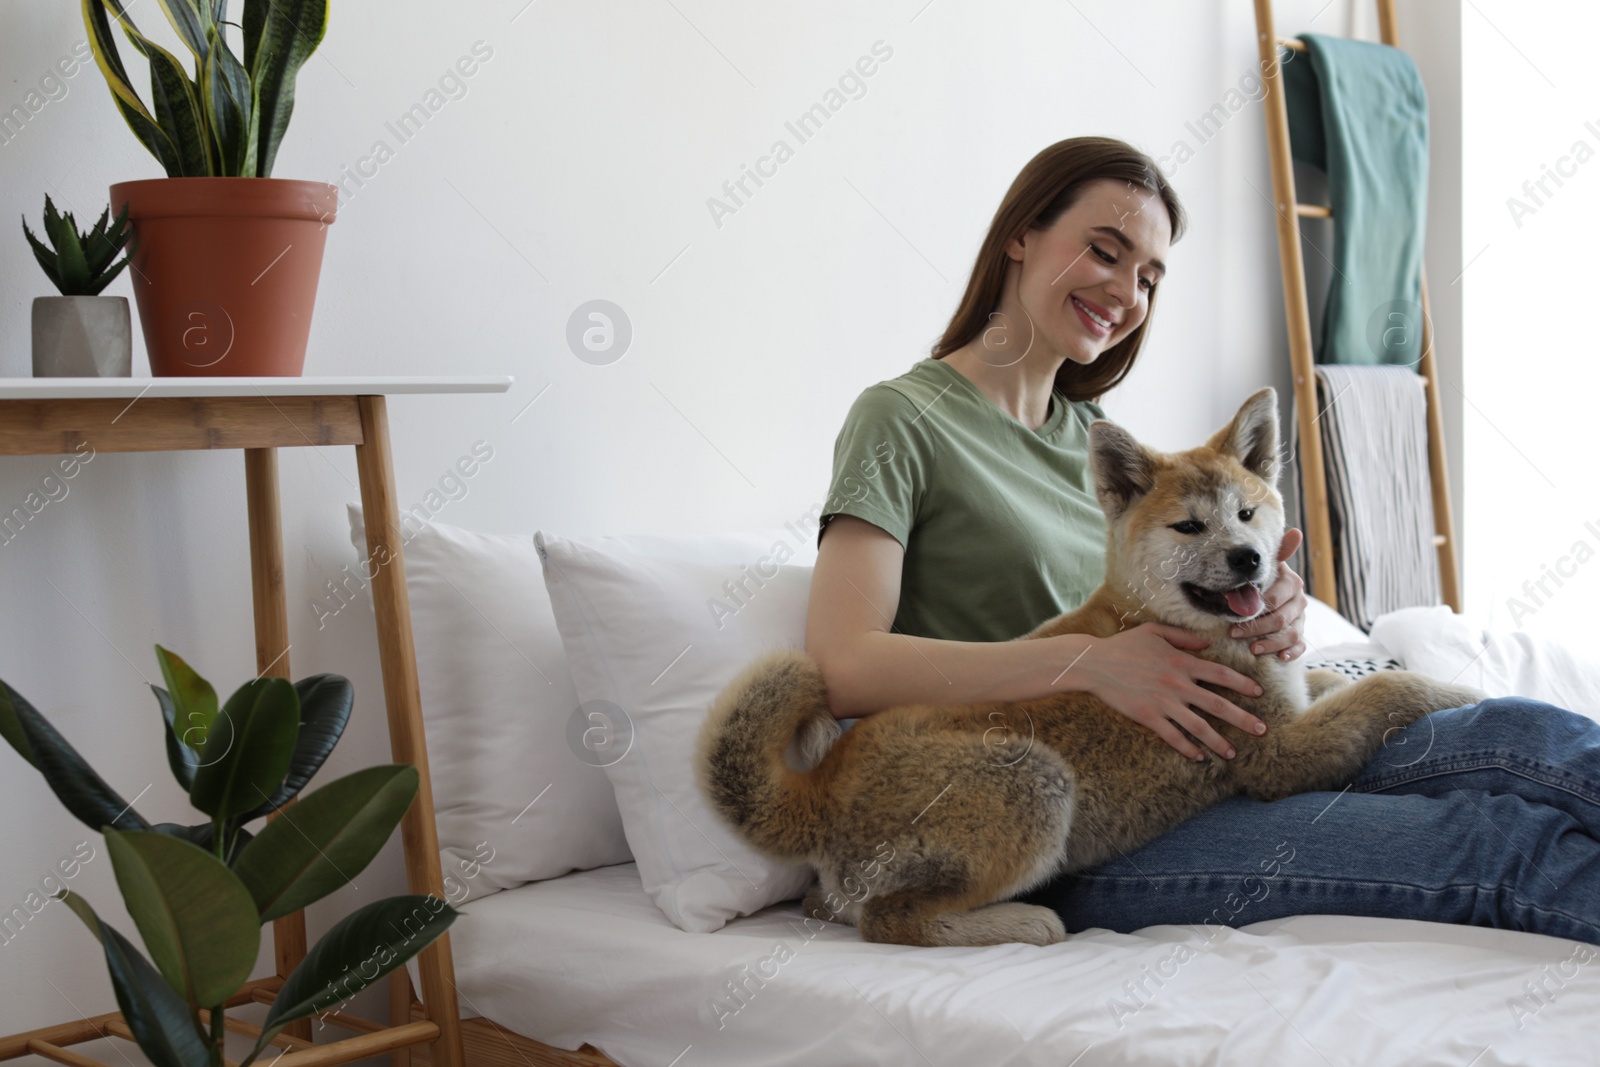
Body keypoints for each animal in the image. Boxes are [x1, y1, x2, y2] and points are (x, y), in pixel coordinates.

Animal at [694, 385, 1478, 953]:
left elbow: (1338, 682)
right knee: (890, 919)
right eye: (1190, 525)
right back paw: (1020, 924)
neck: (1163, 621)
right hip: (1033, 779)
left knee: (836, 905)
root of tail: (822, 785)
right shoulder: (1273, 755)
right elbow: (1387, 686)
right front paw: (1457, 688)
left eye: (1247, 513)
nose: (1250, 558)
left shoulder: (1291, 702)